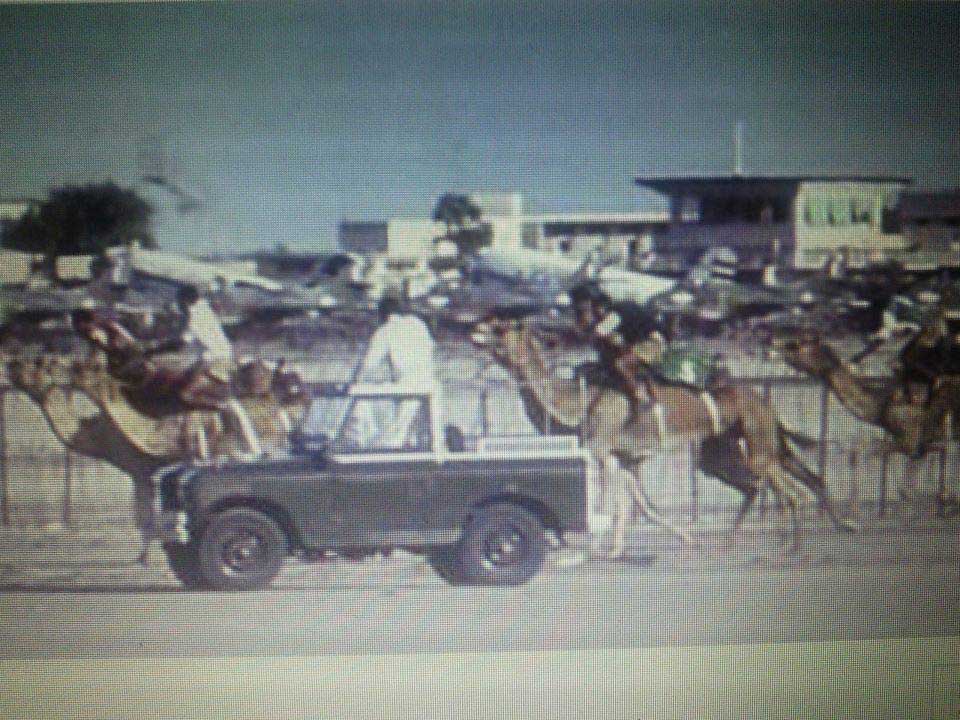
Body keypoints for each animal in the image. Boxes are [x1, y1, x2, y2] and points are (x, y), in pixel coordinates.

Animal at [4, 354, 309, 565]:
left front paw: (145, 559)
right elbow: (148, 515)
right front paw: (148, 555)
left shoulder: (141, 468)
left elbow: (146, 517)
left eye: (39, 363)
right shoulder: (144, 471)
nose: (11, 366)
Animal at [471, 315, 856, 557]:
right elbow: (642, 507)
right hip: (725, 447)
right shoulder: (626, 457)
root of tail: (764, 403)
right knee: (763, 483)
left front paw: (587, 553)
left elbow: (609, 505)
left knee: (786, 489)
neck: (577, 403)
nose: (473, 329)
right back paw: (735, 543)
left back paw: (792, 548)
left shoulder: (601, 450)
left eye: (499, 326)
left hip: (756, 441)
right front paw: (625, 549)